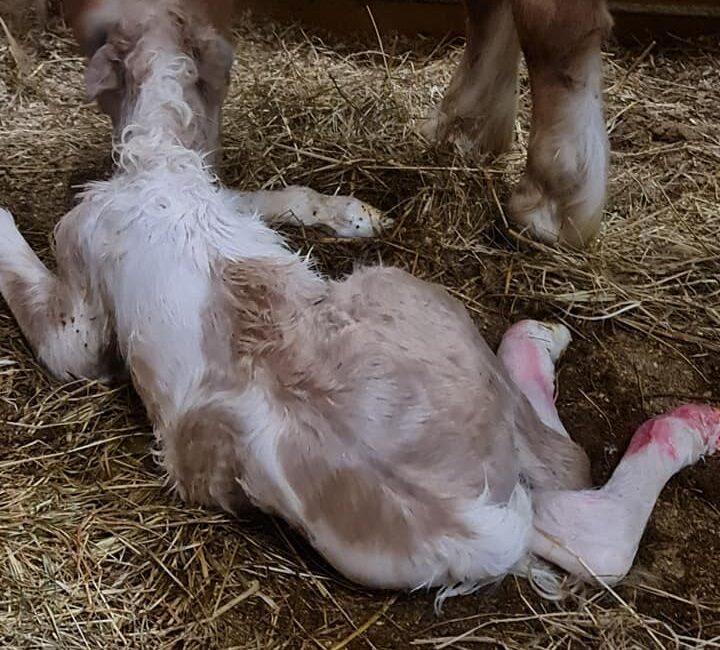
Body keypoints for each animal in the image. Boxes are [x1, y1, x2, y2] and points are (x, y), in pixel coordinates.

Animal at [2, 0, 716, 600]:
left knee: (570, 472)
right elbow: (269, 196)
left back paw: (554, 342)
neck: (160, 164)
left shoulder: (79, 288)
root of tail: (481, 528)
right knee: (584, 518)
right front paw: (354, 213)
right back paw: (679, 417)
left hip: (406, 289)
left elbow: (59, 333)